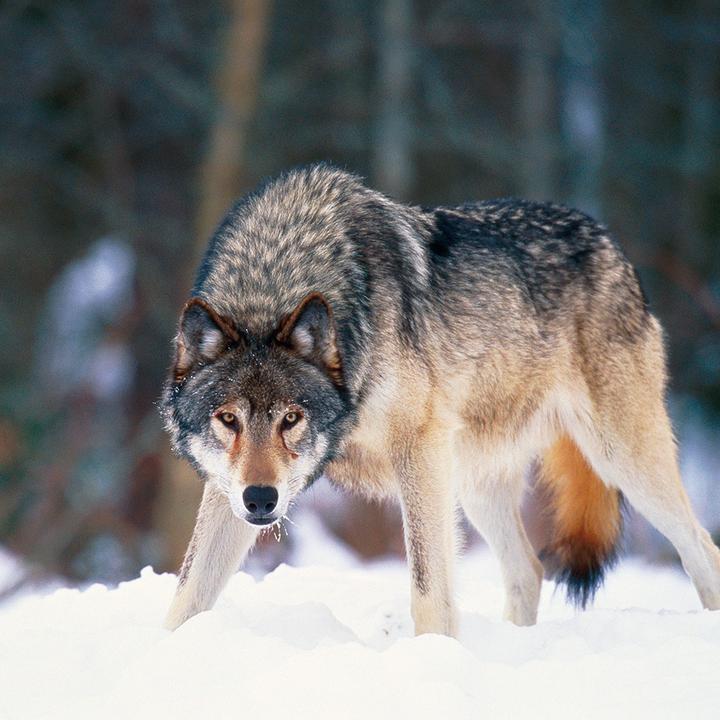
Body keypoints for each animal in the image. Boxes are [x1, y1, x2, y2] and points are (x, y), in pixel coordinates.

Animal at [162, 164, 720, 635]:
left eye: (291, 418)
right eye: (228, 419)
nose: (261, 499)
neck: (277, 274)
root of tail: (608, 240)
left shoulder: (420, 449)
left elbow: (429, 590)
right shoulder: (226, 487)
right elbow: (187, 594)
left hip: (620, 458)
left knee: (703, 549)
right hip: (475, 483)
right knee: (529, 570)